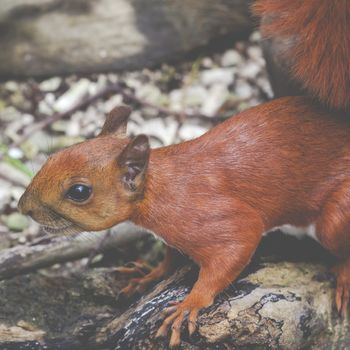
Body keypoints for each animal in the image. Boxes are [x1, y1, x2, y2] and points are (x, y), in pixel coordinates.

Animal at [18, 97, 350, 346]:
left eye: (79, 192)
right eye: (52, 157)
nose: (24, 207)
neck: (158, 188)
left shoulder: (220, 218)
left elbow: (237, 245)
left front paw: (190, 303)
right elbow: (170, 257)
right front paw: (149, 274)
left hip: (334, 217)